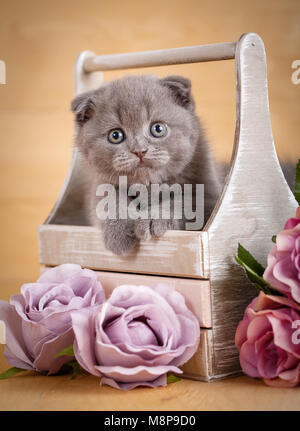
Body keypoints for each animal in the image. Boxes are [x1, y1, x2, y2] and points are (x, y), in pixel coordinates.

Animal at [70, 74, 220, 255]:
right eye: (115, 135)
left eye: (158, 128)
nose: (140, 150)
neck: (148, 184)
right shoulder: (100, 180)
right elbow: (108, 198)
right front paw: (119, 232)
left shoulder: (210, 196)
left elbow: (184, 200)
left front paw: (152, 218)